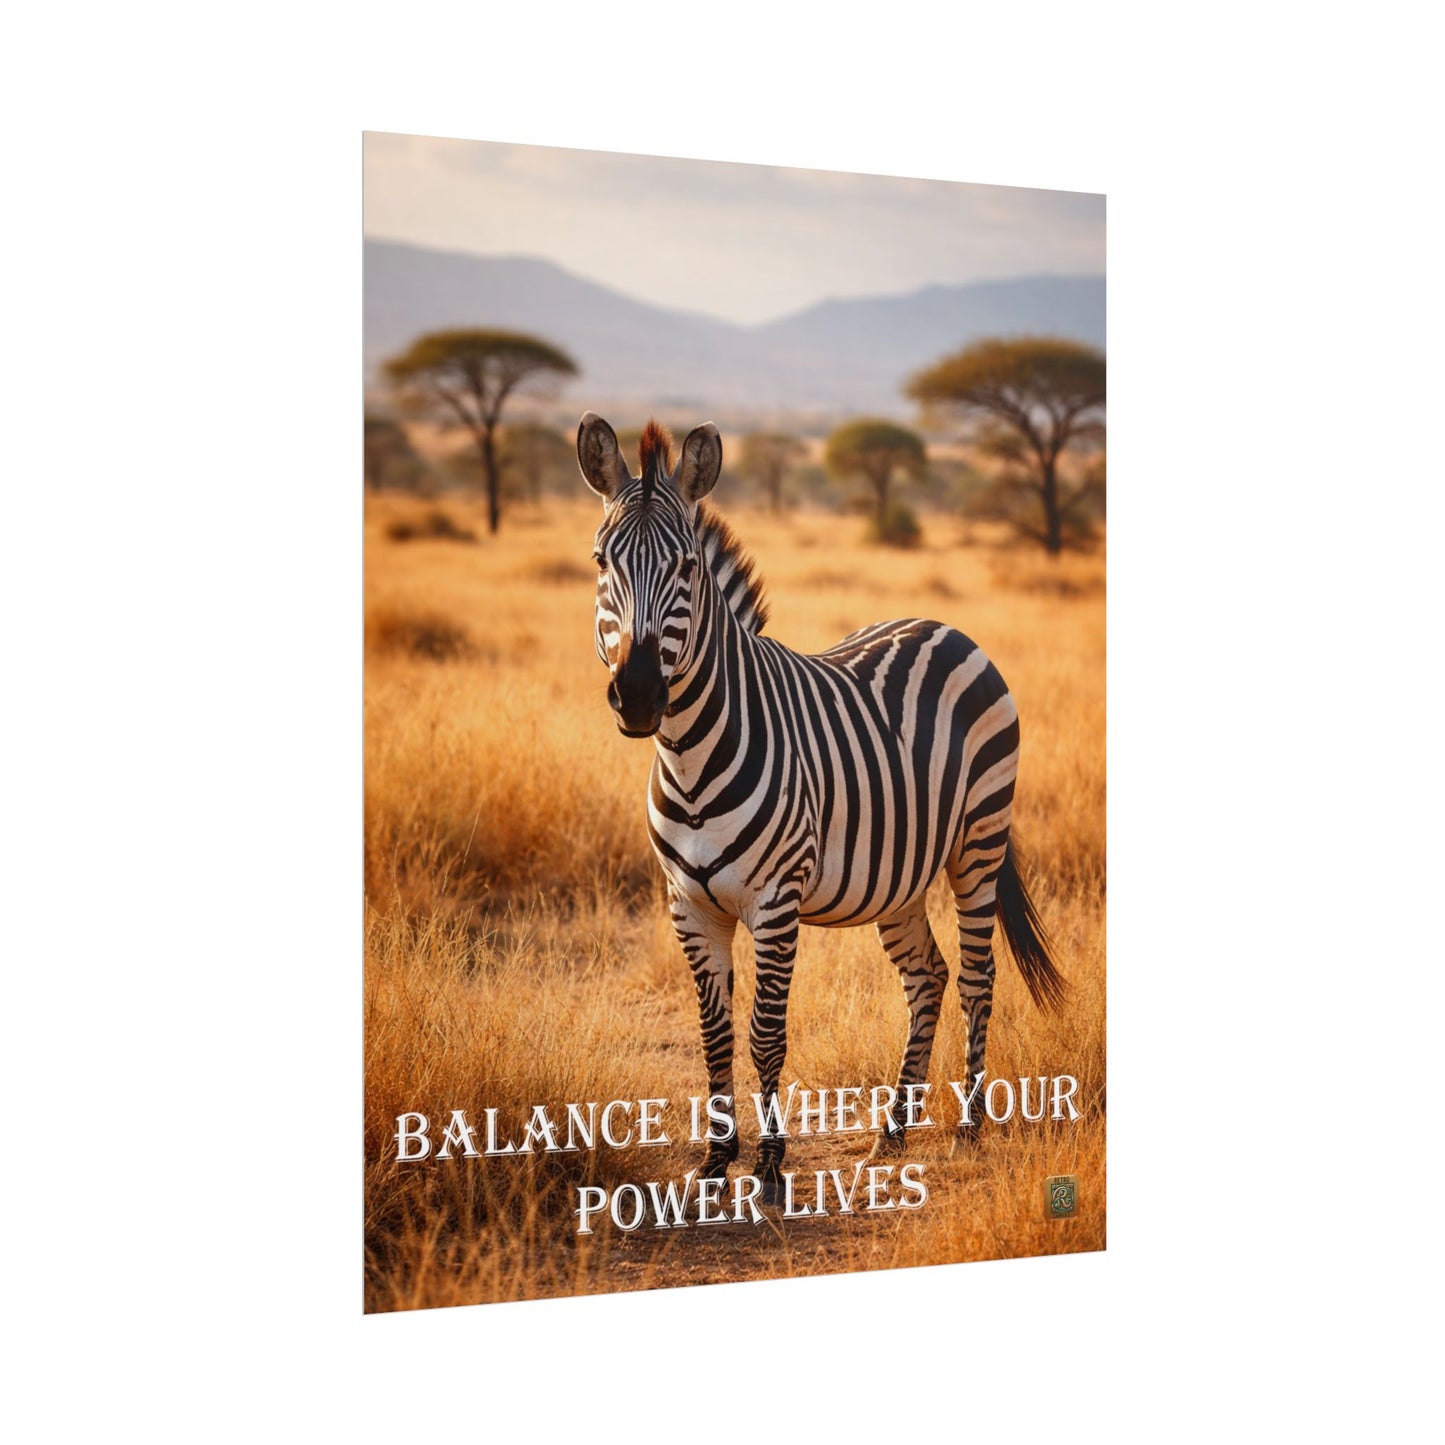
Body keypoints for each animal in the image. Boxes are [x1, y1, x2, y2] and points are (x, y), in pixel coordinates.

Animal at [577, 412, 1065, 1201]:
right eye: (599, 562)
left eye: (687, 568)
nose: (641, 695)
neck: (688, 756)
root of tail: (942, 625)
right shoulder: (688, 904)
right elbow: (713, 1032)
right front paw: (715, 1160)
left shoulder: (775, 900)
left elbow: (765, 1032)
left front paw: (771, 1166)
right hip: (899, 877)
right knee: (927, 976)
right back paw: (892, 1130)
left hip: (979, 842)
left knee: (977, 976)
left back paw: (968, 1129)